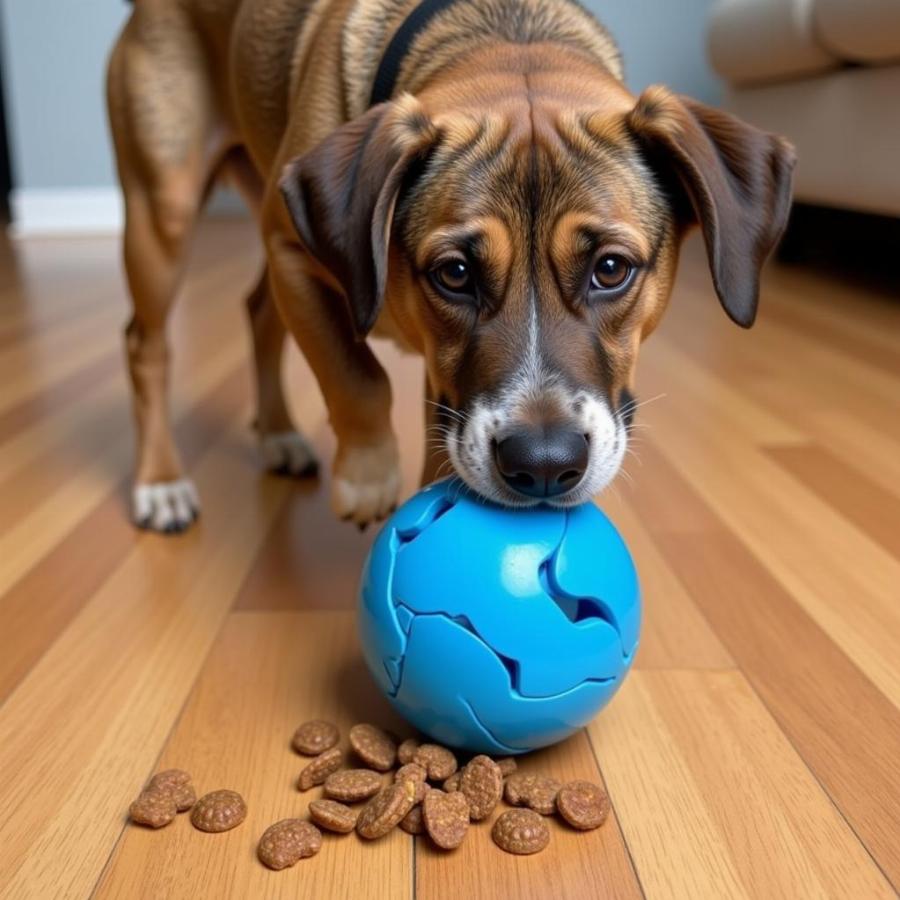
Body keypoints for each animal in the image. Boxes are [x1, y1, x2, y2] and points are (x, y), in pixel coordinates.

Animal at [107, 0, 796, 536]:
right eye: (455, 274)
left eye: (610, 269)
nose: (544, 464)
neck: (509, 35)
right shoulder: (294, 252)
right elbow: (355, 373)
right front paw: (369, 477)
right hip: (165, 208)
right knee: (145, 345)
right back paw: (161, 482)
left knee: (256, 312)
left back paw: (277, 434)